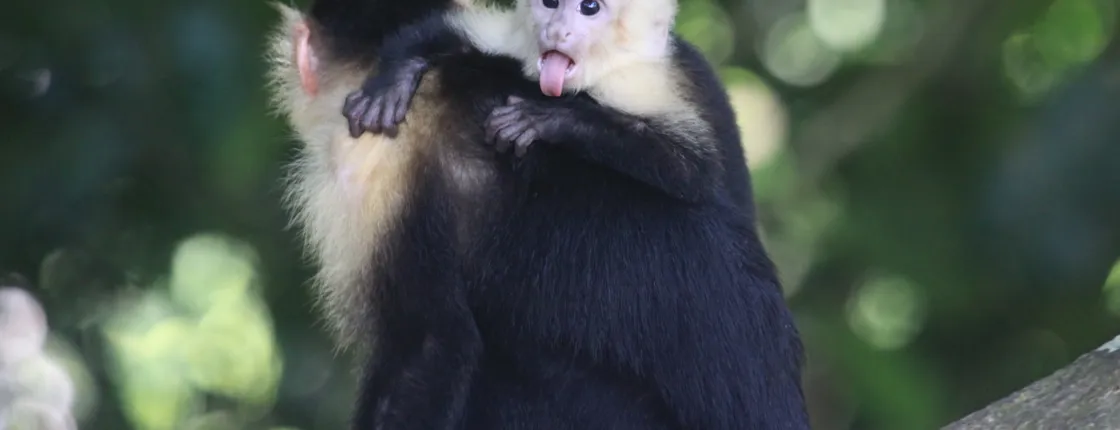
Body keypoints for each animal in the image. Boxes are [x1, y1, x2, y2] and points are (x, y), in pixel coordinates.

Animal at [336, 0, 813, 428]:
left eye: (589, 7)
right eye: (550, 2)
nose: (556, 31)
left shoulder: (641, 82)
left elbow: (690, 170)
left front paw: (554, 119)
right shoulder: (521, 46)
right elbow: (451, 32)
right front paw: (397, 75)